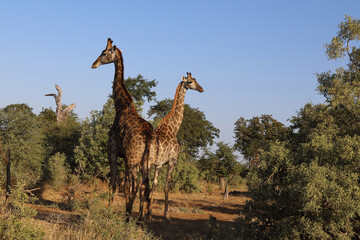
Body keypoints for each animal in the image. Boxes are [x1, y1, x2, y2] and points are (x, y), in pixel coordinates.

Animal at [91, 38, 155, 218]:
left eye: (104, 53)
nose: (93, 64)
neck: (120, 105)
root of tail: (148, 135)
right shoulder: (126, 158)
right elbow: (124, 185)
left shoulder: (112, 150)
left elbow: (114, 182)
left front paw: (109, 210)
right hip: (146, 161)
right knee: (145, 186)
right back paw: (140, 218)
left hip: (134, 160)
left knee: (135, 185)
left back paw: (128, 217)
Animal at [146, 72, 202, 220]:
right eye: (190, 81)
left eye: (196, 79)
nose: (201, 88)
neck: (174, 128)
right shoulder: (172, 161)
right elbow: (166, 187)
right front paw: (167, 215)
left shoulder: (159, 164)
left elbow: (154, 186)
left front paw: (149, 213)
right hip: (147, 163)